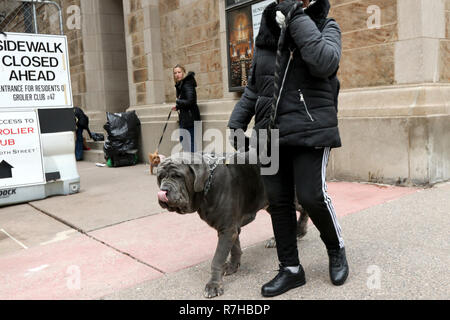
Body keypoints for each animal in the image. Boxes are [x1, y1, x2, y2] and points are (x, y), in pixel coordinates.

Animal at [156, 152, 308, 298]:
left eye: (178, 176)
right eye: (160, 177)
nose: (164, 190)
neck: (207, 185)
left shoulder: (227, 229)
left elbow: (217, 259)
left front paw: (214, 285)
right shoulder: (230, 228)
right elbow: (235, 248)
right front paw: (233, 266)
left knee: (303, 207)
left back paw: (300, 230)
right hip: (271, 203)